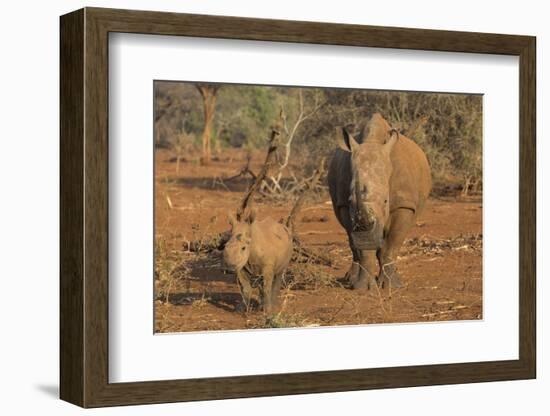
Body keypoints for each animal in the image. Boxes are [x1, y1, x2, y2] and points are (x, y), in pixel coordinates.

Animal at [330, 112, 434, 290]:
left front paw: (392, 286)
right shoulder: (344, 204)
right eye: (351, 200)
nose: (367, 237)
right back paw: (350, 279)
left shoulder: (403, 204)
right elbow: (362, 249)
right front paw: (363, 287)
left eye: (386, 201)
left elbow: (391, 245)